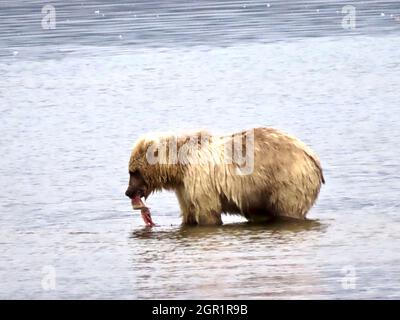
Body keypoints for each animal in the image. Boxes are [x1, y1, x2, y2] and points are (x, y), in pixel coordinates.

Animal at [126, 126, 324, 226]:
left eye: (134, 172)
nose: (128, 192)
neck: (179, 166)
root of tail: (312, 156)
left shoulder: (201, 179)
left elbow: (208, 213)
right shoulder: (184, 187)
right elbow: (189, 211)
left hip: (287, 181)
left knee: (288, 210)